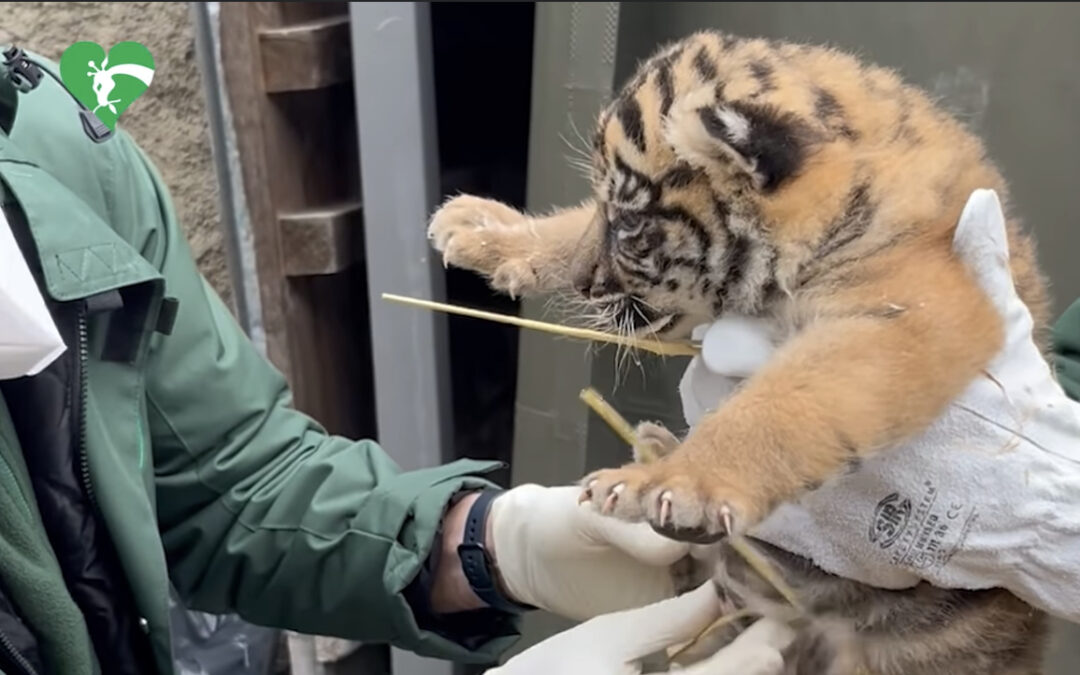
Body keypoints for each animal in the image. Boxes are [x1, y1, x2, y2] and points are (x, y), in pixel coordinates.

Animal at [428, 31, 1051, 674]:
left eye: (629, 226)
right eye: (606, 211)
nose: (583, 284)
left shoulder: (907, 315)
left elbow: (779, 404)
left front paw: (673, 486)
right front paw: (481, 227)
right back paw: (654, 447)